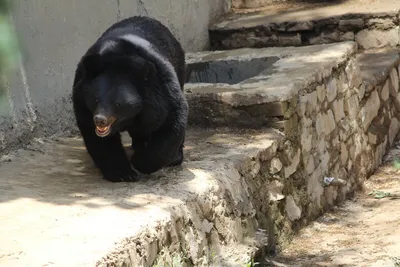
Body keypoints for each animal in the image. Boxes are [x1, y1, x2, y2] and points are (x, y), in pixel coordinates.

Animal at [71, 15, 188, 182]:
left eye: (118, 104)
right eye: (95, 99)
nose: (100, 120)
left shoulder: (162, 90)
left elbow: (172, 121)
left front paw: (140, 162)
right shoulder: (81, 98)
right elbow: (96, 137)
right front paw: (123, 173)